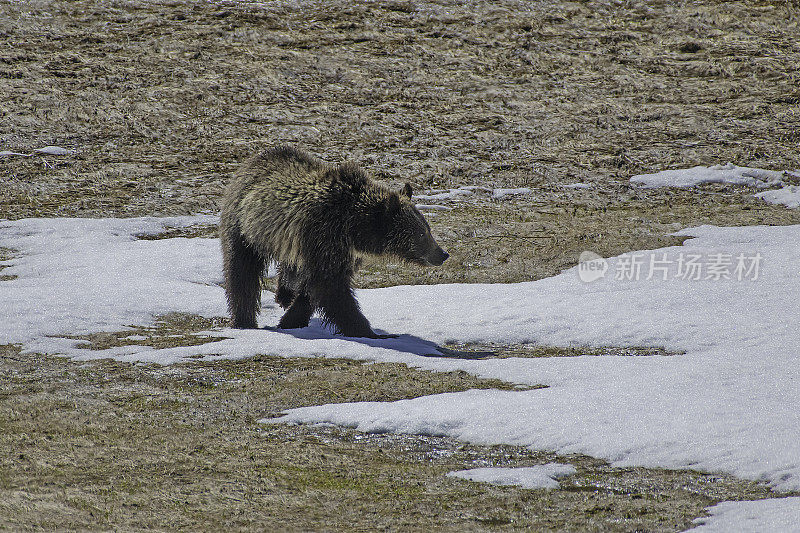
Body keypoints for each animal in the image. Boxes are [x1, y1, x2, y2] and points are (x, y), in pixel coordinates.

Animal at [219, 145, 450, 336]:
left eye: (427, 229)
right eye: (421, 233)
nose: (442, 254)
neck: (354, 230)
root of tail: (252, 161)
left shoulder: (342, 252)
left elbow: (314, 288)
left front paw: (291, 319)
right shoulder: (325, 237)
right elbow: (332, 289)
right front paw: (367, 330)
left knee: (289, 266)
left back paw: (284, 294)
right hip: (245, 228)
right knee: (241, 274)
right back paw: (244, 320)